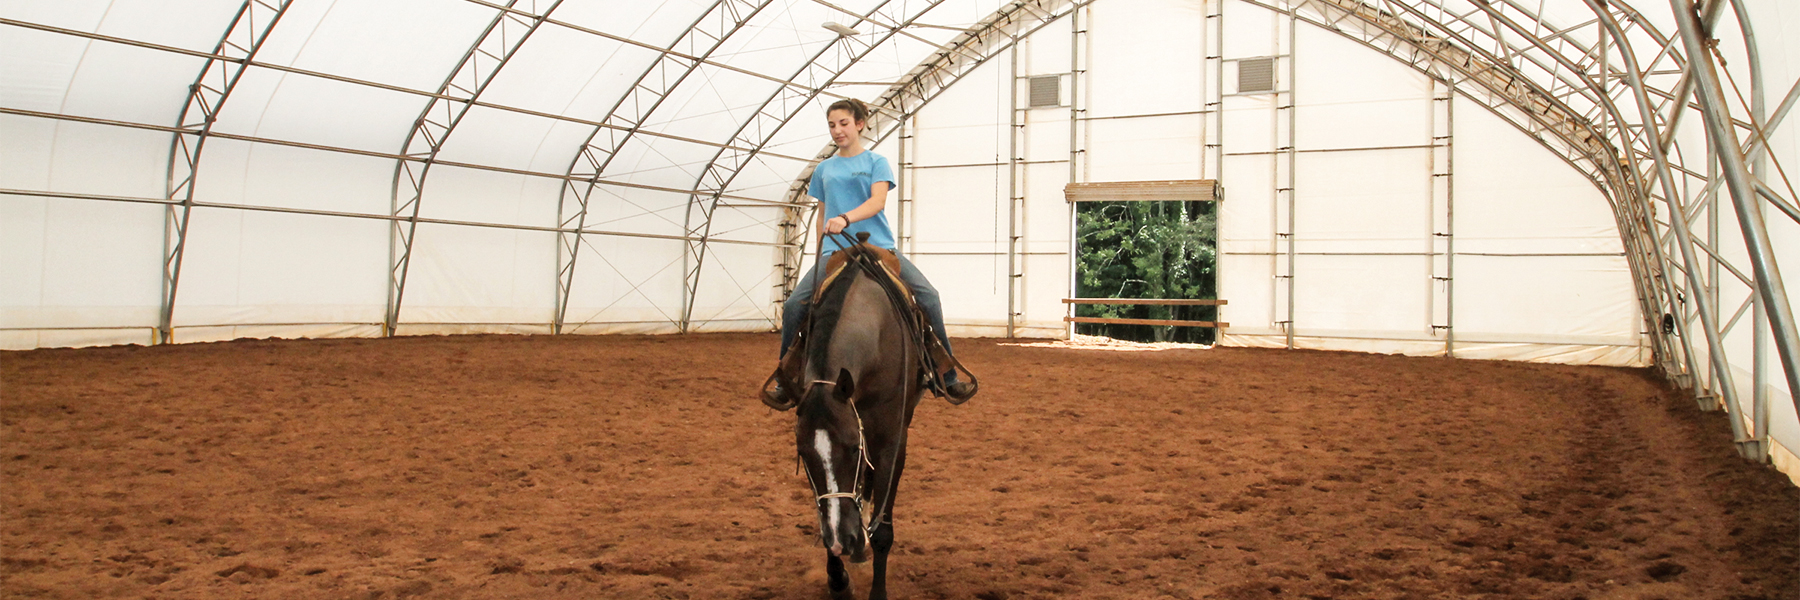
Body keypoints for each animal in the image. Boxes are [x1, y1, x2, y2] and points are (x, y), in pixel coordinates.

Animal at [759, 237, 928, 598]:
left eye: (851, 448)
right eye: (803, 454)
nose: (842, 540)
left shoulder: (891, 440)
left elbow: (883, 529)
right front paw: (838, 580)